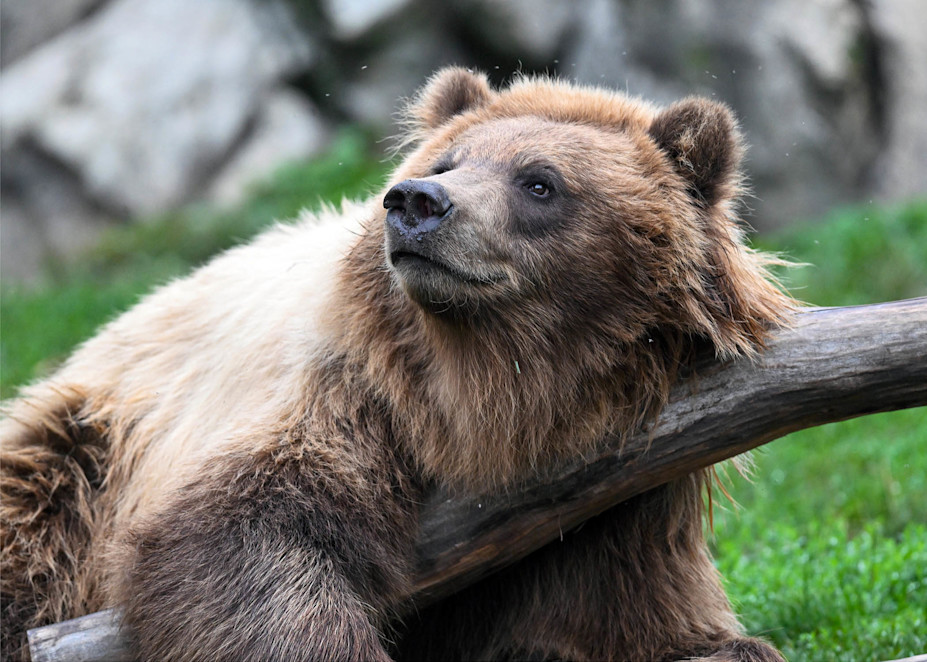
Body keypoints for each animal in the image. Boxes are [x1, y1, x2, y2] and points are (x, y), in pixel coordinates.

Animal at [0, 67, 794, 661]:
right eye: (447, 162)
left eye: (539, 181)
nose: (417, 202)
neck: (494, 396)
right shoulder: (345, 397)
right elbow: (240, 533)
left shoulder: (621, 502)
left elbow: (644, 622)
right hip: (83, 448)